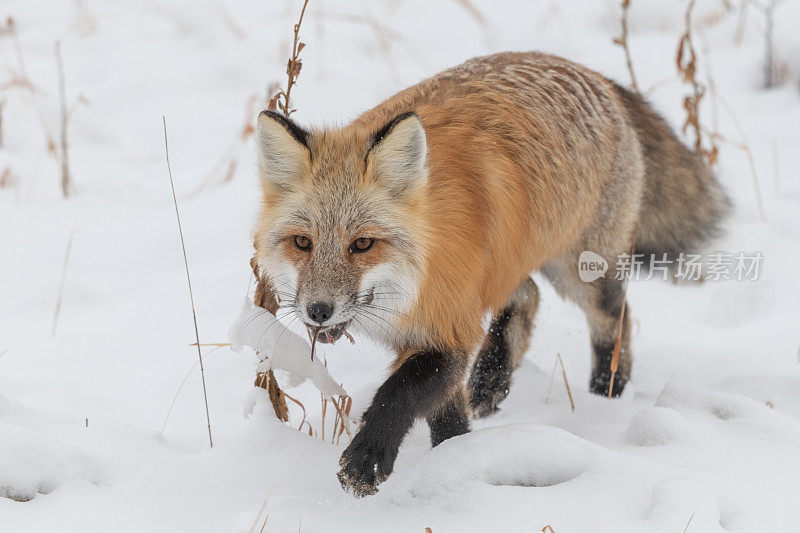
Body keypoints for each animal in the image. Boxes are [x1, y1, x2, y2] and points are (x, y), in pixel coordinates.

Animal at [252, 51, 732, 494]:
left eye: (363, 244)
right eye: (302, 243)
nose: (318, 311)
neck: (413, 281)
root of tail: (589, 71)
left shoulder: (449, 329)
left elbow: (397, 395)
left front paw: (368, 459)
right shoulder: (441, 327)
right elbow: (445, 414)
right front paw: (457, 460)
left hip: (582, 272)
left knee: (617, 321)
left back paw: (605, 394)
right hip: (511, 264)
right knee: (528, 296)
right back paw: (491, 381)